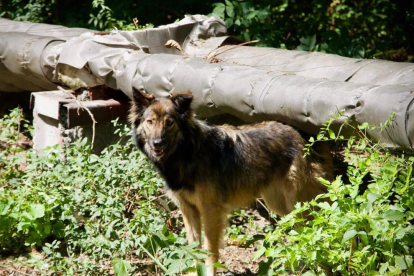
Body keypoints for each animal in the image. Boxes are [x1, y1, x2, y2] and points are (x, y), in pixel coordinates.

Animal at [129, 89, 334, 274]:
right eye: (150, 122)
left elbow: (209, 251)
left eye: (169, 122)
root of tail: (305, 137)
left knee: (319, 233)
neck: (186, 152)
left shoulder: (211, 210)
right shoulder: (188, 209)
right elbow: (194, 250)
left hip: (299, 206)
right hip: (280, 205)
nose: (157, 143)